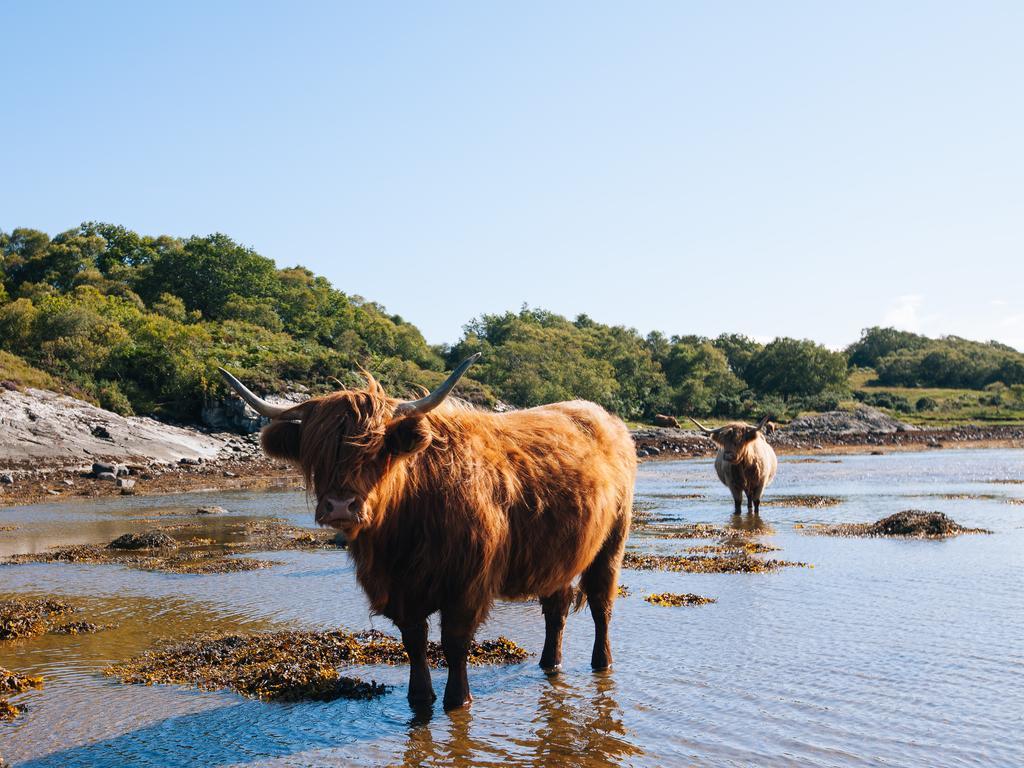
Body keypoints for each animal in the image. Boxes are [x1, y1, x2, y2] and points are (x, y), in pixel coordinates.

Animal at [221, 358, 634, 712]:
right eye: (314, 451)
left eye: (378, 450)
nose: (340, 506)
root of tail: (602, 415)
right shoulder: (399, 590)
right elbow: (415, 642)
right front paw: (420, 698)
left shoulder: (467, 583)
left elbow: (454, 642)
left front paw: (458, 700)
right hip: (560, 553)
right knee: (557, 607)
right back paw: (550, 664)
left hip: (612, 540)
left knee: (601, 603)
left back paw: (602, 663)